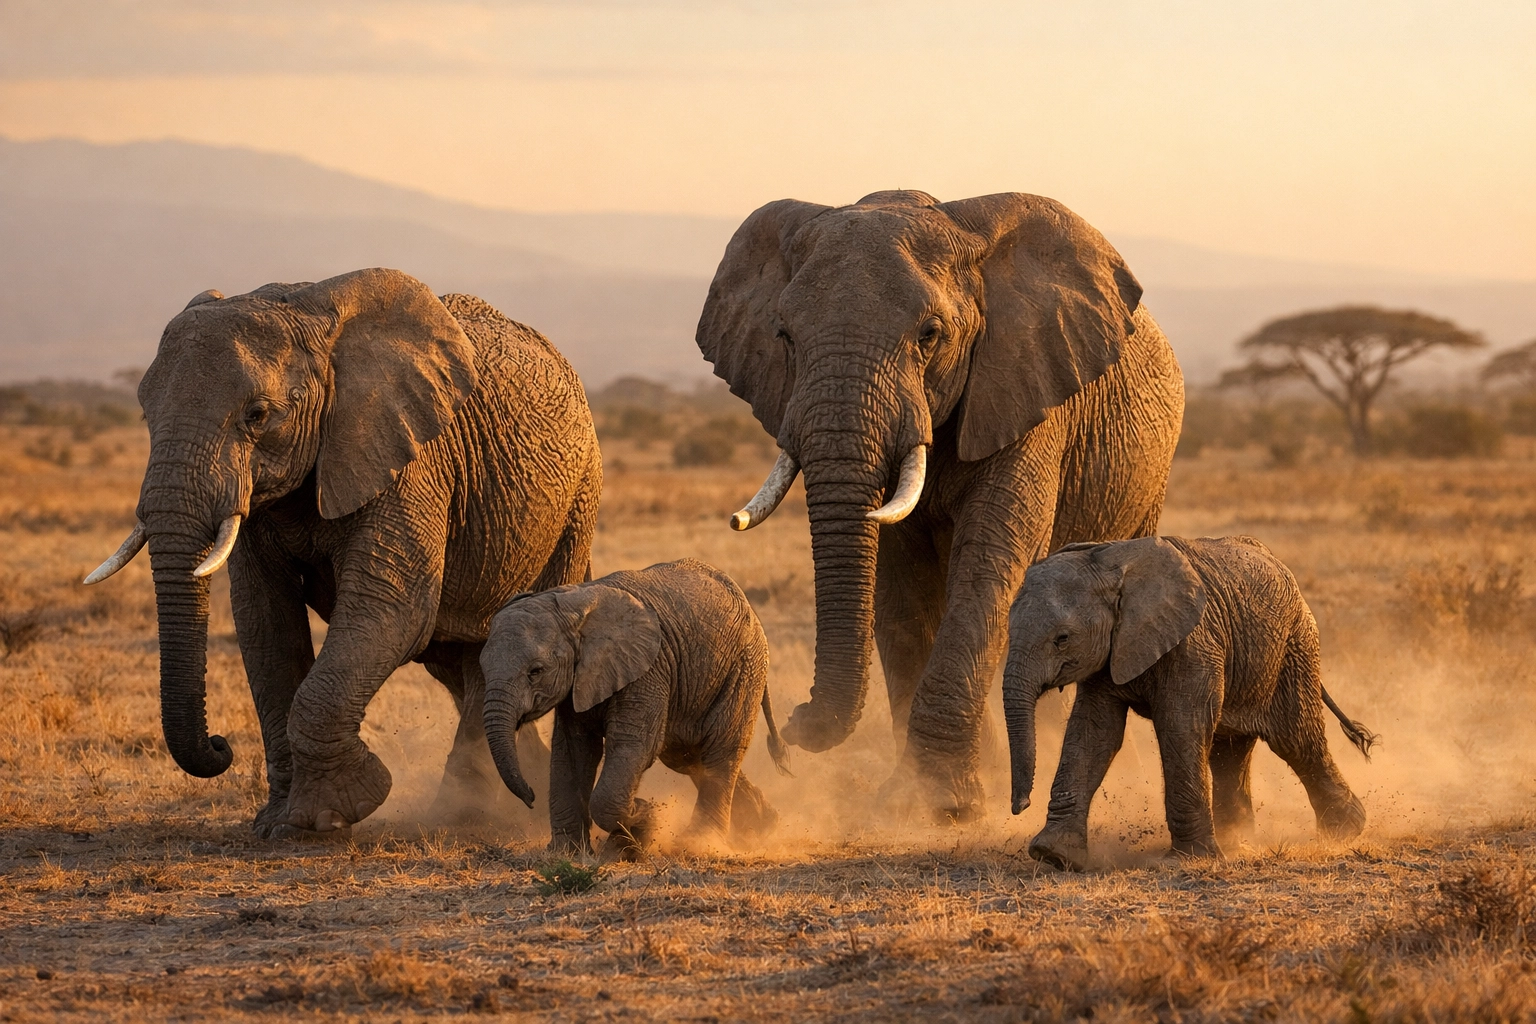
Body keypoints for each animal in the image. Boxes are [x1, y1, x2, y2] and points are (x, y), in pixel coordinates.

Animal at [84, 268, 601, 836]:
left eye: (257, 415)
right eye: (143, 413)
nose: (219, 746)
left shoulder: (412, 461)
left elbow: (390, 608)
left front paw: (332, 816)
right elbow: (263, 620)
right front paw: (277, 825)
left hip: (576, 505)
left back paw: (467, 817)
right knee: (466, 655)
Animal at [479, 558, 791, 859]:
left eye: (536, 671)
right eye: (483, 667)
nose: (530, 797)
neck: (571, 604)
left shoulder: (648, 670)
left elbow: (633, 746)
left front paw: (647, 818)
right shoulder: (578, 683)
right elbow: (573, 752)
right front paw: (566, 853)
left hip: (743, 669)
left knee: (720, 751)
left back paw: (700, 844)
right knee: (690, 756)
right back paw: (763, 826)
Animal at [696, 189, 1185, 821]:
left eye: (930, 334)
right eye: (784, 336)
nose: (796, 725)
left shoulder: (1027, 389)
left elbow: (988, 563)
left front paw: (941, 804)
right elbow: (899, 584)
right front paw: (924, 796)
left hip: (1149, 478)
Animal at [1002, 535, 1377, 870]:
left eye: (1062, 639)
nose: (1021, 805)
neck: (1108, 559)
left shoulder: (1194, 644)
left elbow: (1181, 727)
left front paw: (1189, 860)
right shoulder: (1111, 652)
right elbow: (1095, 733)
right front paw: (1053, 855)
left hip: (1294, 648)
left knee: (1296, 739)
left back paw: (1343, 832)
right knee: (1229, 751)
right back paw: (1236, 841)